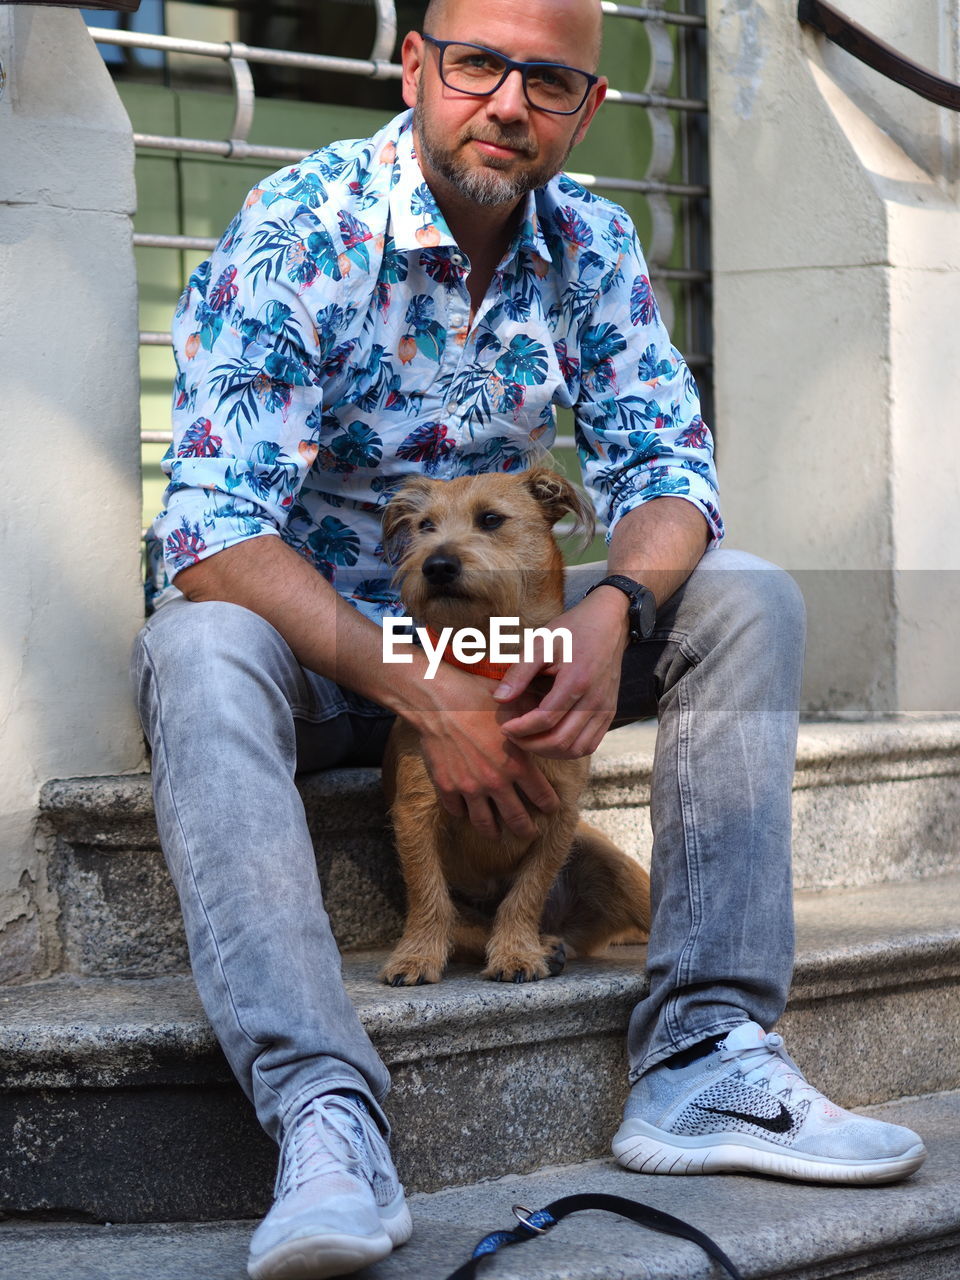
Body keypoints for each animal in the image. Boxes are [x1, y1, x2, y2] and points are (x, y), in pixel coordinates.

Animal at [376, 465, 655, 983]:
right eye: (425, 526)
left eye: (490, 519)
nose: (437, 565)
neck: (491, 662)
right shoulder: (415, 812)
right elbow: (427, 895)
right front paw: (416, 956)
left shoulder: (560, 815)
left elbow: (526, 891)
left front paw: (516, 952)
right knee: (460, 921)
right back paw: (547, 944)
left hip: (612, 864)